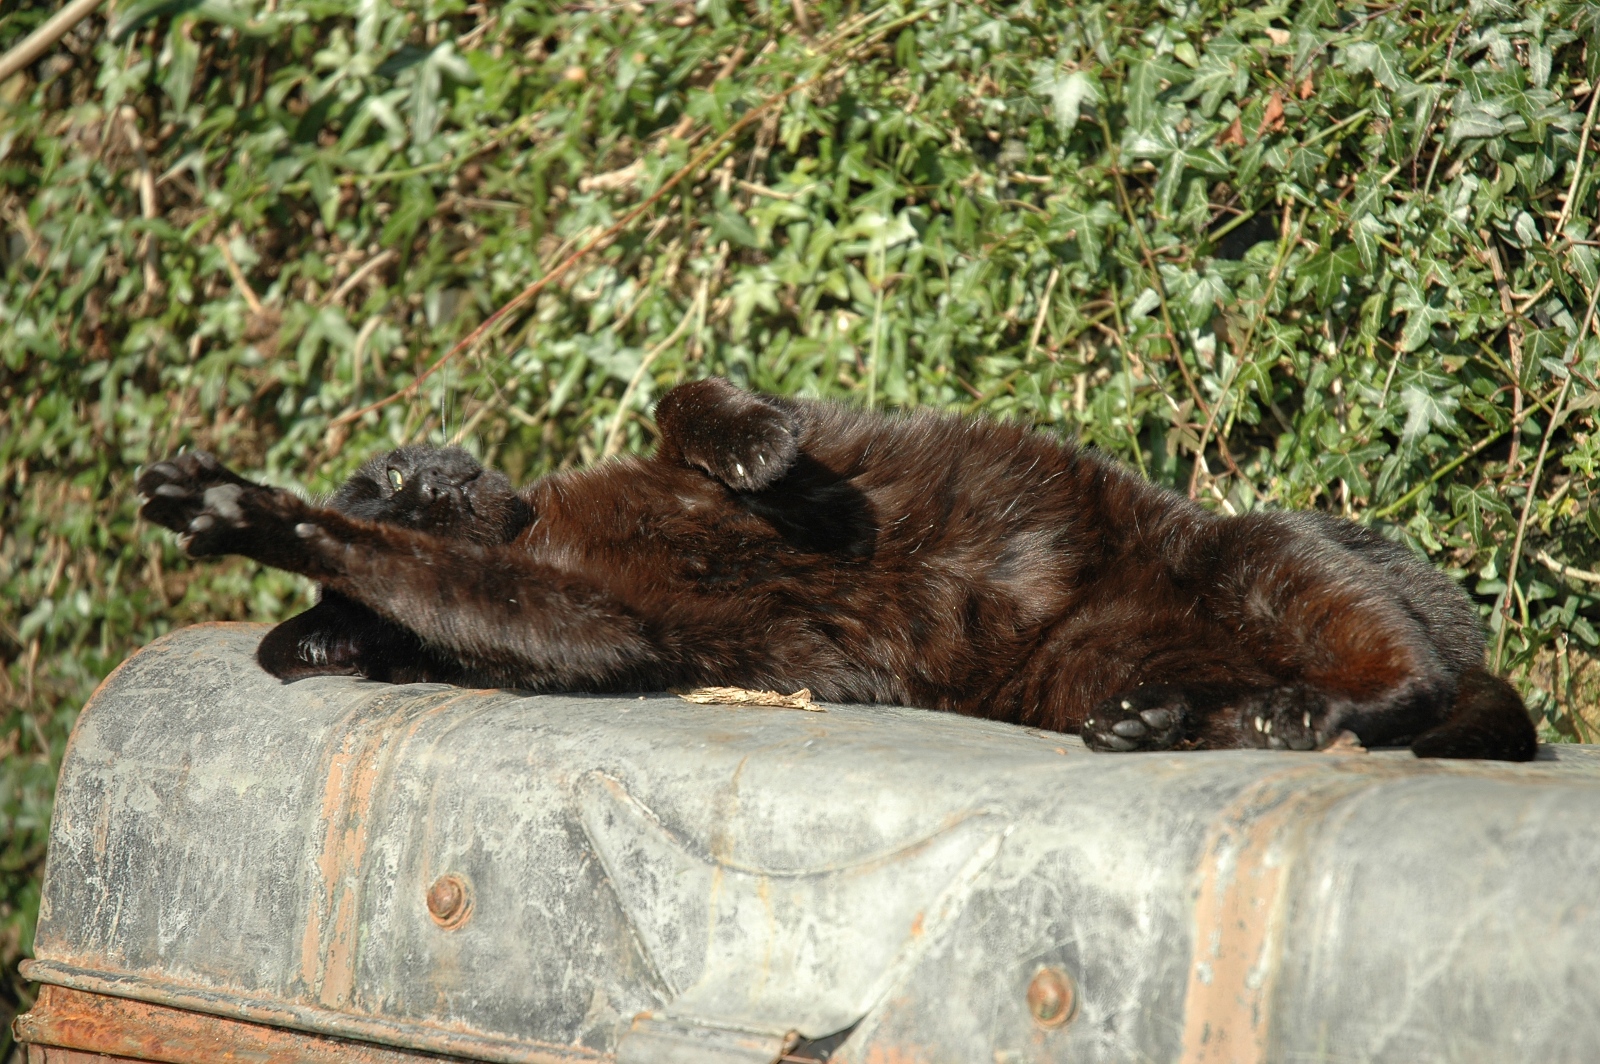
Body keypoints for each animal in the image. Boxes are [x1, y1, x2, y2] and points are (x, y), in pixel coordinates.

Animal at [140, 377, 1536, 758]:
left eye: (384, 466)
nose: (419, 483)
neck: (537, 523)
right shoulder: (585, 624)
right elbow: (432, 582)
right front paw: (256, 515)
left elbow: (687, 397)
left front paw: (754, 447)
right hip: (1111, 650)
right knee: (1397, 692)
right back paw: (1196, 720)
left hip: (1254, 549)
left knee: (1411, 674)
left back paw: (1263, 712)